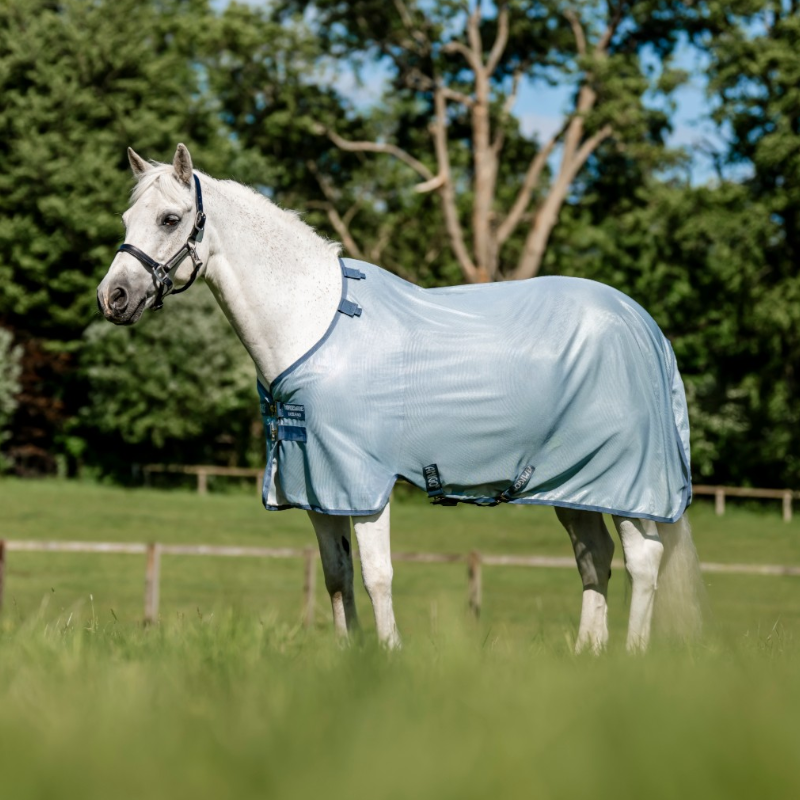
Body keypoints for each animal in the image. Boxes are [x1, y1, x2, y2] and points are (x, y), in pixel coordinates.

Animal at [97, 143, 704, 652]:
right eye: (127, 219)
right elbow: (337, 575)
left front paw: (389, 658)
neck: (315, 324)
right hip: (573, 485)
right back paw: (587, 656)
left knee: (643, 560)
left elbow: (376, 575)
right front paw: (349, 657)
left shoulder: (363, 483)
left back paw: (630, 657)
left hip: (626, 484)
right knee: (594, 559)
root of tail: (644, 326)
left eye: (170, 218)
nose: (113, 297)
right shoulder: (319, 488)